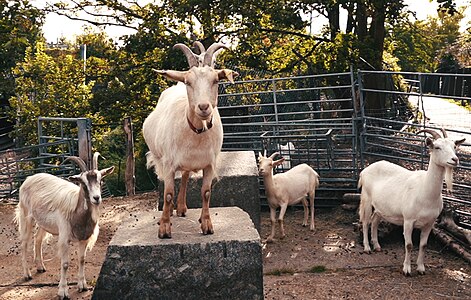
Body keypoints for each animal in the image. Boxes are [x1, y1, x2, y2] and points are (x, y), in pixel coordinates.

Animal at [15, 154, 115, 298]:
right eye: (83, 183)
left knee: (37, 239)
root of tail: (29, 178)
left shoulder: (83, 238)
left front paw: (82, 286)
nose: (96, 198)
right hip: (26, 215)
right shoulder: (64, 238)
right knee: (24, 242)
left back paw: (40, 267)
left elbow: (82, 259)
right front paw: (63, 291)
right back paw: (27, 274)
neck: (76, 213)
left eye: (100, 181)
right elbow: (65, 264)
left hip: (43, 223)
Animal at [143, 41, 240, 239]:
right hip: (162, 159)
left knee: (186, 176)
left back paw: (181, 208)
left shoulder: (210, 163)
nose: (203, 107)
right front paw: (164, 228)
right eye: (188, 82)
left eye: (216, 80)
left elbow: (206, 193)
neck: (196, 132)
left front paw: (207, 224)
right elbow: (168, 194)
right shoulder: (169, 163)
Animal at [360, 127, 466, 276]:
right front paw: (407, 269)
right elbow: (409, 245)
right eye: (437, 147)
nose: (454, 159)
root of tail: (365, 170)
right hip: (366, 198)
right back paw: (367, 248)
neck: (425, 192)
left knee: (375, 220)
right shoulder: (408, 220)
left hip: (381, 207)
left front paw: (421, 268)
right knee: (365, 222)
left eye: (454, 146)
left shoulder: (430, 223)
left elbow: (423, 245)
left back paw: (377, 245)